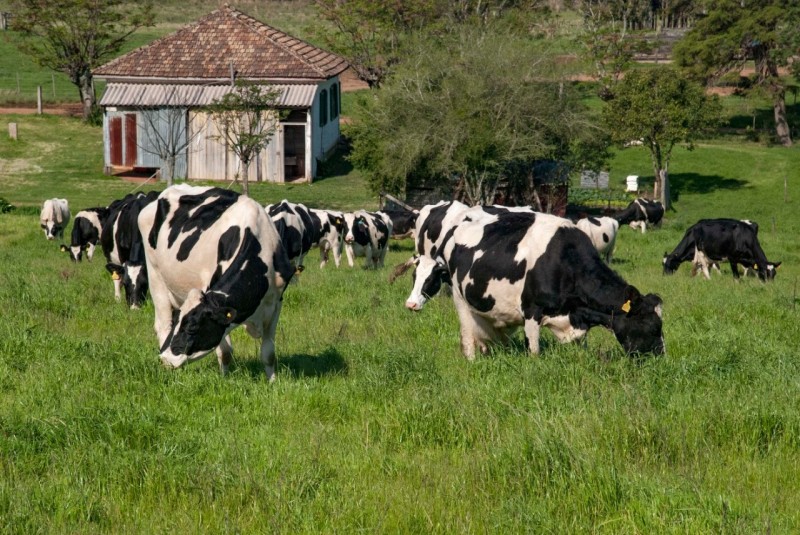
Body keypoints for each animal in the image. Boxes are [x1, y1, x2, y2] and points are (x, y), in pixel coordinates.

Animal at [138, 186, 294, 378]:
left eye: (192, 327)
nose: (165, 359)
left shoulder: (276, 302)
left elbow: (268, 353)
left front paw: (271, 380)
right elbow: (225, 351)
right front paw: (224, 379)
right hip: (155, 276)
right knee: (162, 325)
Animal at [404, 211, 664, 358]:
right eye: (652, 326)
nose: (659, 358)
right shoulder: (531, 311)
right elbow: (534, 353)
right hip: (461, 300)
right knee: (468, 338)